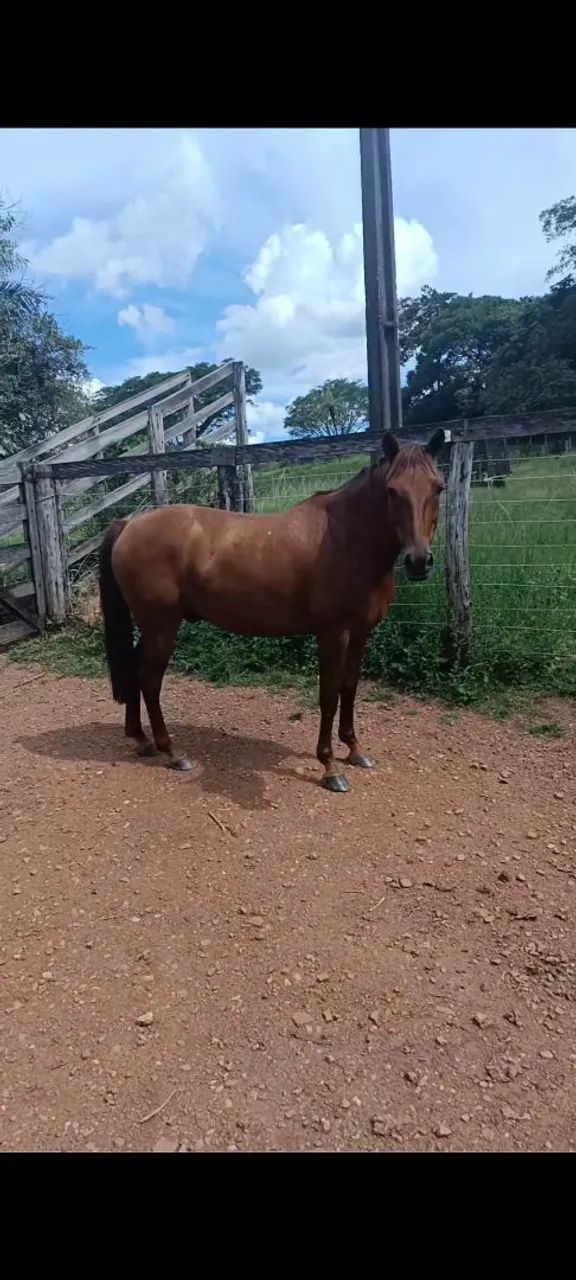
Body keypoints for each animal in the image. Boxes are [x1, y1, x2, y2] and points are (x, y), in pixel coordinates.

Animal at [98, 428, 445, 793]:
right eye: (392, 491)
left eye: (438, 487)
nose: (419, 561)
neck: (345, 539)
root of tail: (129, 525)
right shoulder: (332, 634)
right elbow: (329, 695)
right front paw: (329, 766)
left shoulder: (361, 632)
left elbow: (349, 688)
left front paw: (354, 749)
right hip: (163, 626)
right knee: (150, 680)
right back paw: (172, 751)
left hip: (152, 627)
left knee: (134, 670)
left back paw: (141, 739)